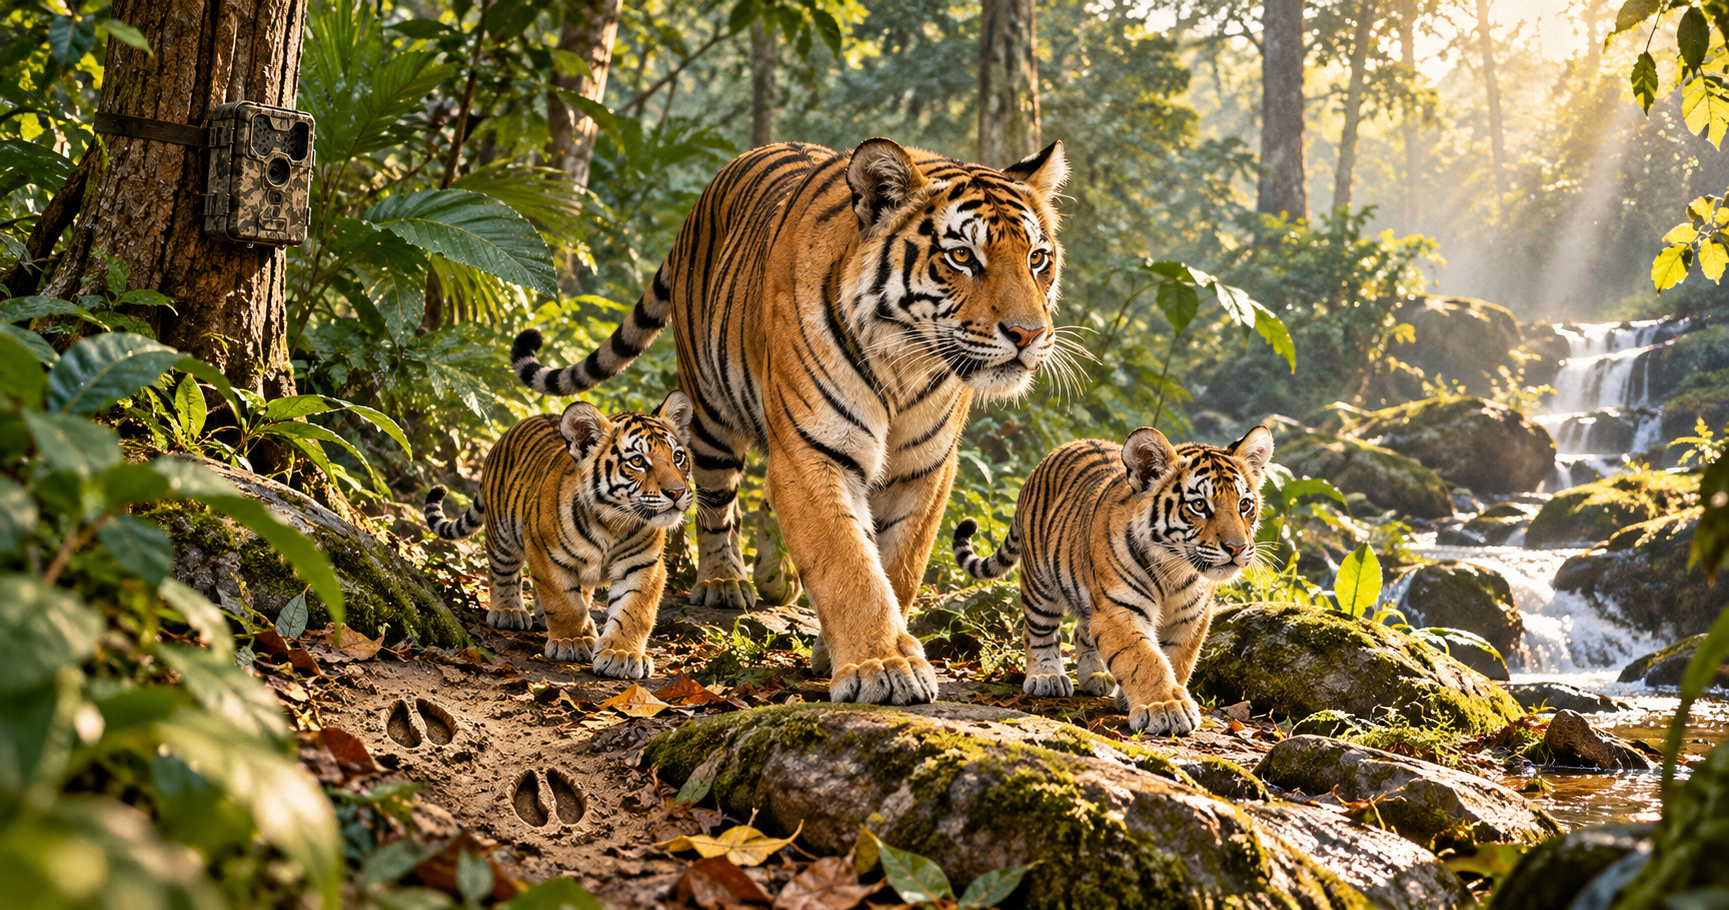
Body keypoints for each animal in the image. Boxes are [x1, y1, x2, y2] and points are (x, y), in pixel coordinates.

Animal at [423, 393, 695, 679]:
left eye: (678, 456)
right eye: (638, 461)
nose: (677, 492)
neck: (613, 524)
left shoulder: (645, 565)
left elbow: (635, 612)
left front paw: (622, 654)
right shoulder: (544, 552)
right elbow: (564, 601)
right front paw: (572, 641)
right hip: (502, 534)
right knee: (502, 572)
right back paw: (508, 611)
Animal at [506, 137, 1072, 706]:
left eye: (1037, 258)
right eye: (961, 257)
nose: (1029, 334)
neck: (905, 366)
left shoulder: (925, 470)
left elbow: (897, 568)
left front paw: (845, 649)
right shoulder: (813, 450)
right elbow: (849, 562)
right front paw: (884, 666)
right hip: (710, 414)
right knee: (717, 504)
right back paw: (724, 581)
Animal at [951, 426, 1274, 735]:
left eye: (1244, 504)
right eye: (1199, 505)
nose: (1237, 548)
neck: (1175, 571)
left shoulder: (1191, 617)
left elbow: (1176, 659)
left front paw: (1141, 699)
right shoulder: (1119, 610)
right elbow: (1146, 658)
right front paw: (1167, 708)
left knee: (1082, 630)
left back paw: (1096, 676)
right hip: (1040, 583)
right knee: (1039, 631)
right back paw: (1047, 677)